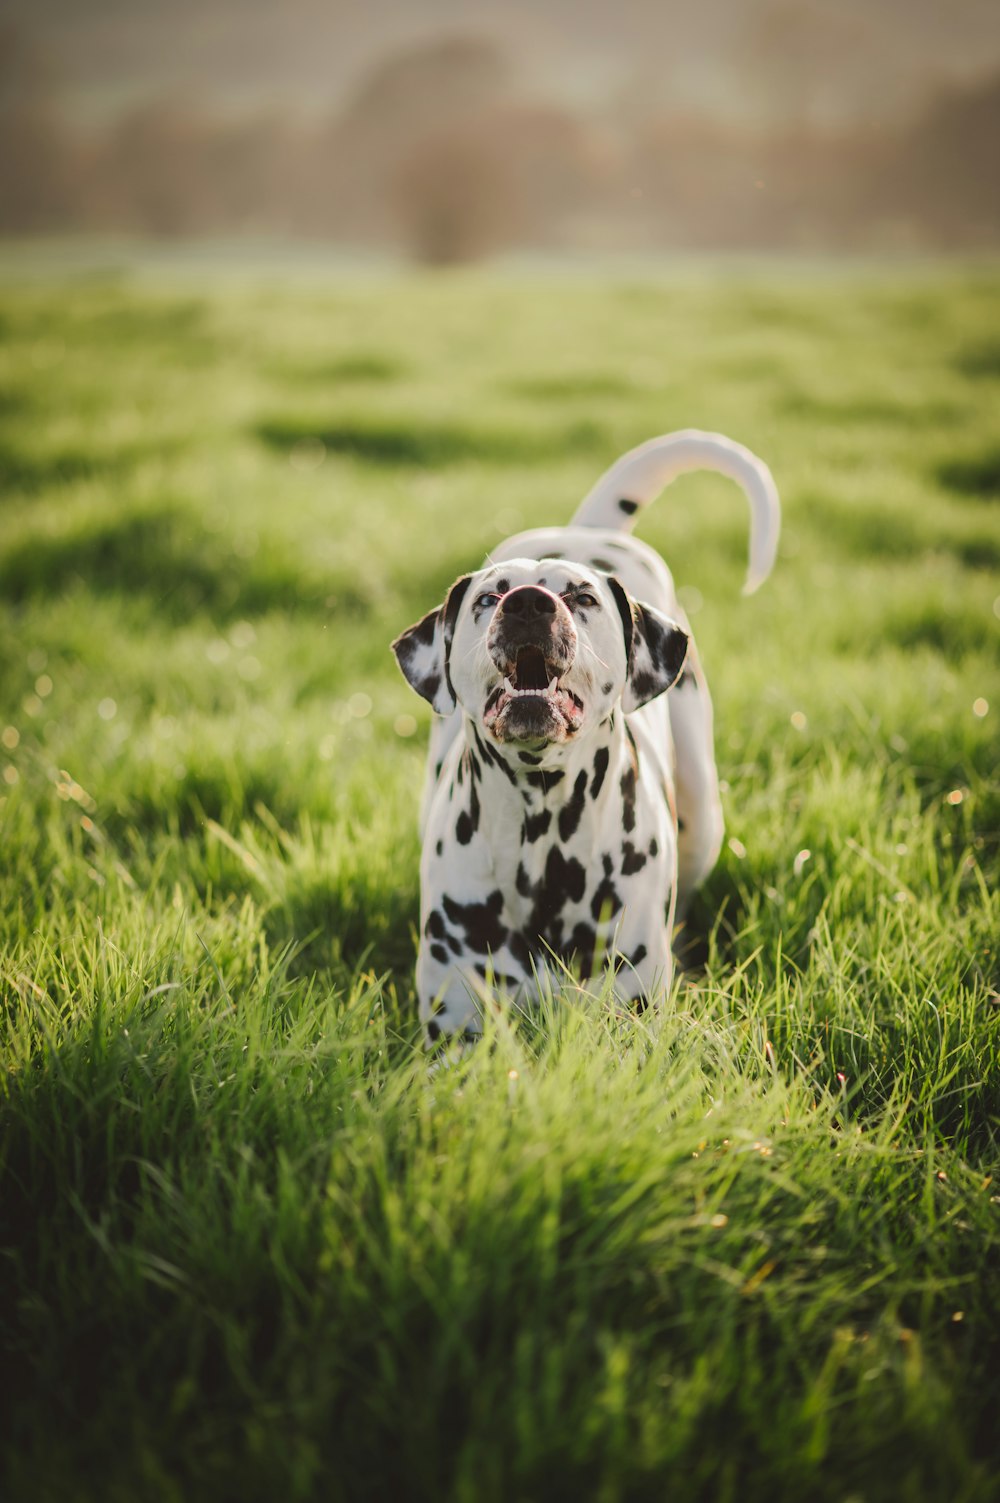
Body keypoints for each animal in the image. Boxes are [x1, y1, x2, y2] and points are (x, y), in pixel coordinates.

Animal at [390, 429, 781, 1040]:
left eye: (583, 597)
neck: (543, 839)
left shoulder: (629, 1014)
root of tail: (587, 529)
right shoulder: (455, 1026)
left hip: (703, 818)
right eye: (488, 597)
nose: (528, 603)